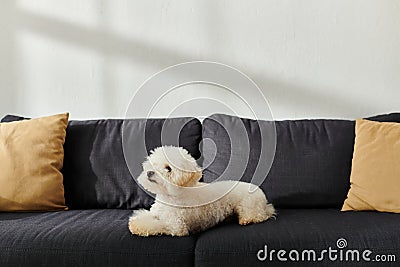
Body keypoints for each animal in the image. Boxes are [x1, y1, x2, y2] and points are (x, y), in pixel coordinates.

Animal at [128, 147, 276, 237]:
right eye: (152, 164)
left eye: (168, 169)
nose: (149, 172)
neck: (171, 196)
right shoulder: (157, 213)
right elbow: (146, 216)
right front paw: (136, 221)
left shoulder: (176, 226)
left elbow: (157, 225)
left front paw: (138, 226)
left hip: (249, 206)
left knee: (259, 216)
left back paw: (247, 220)